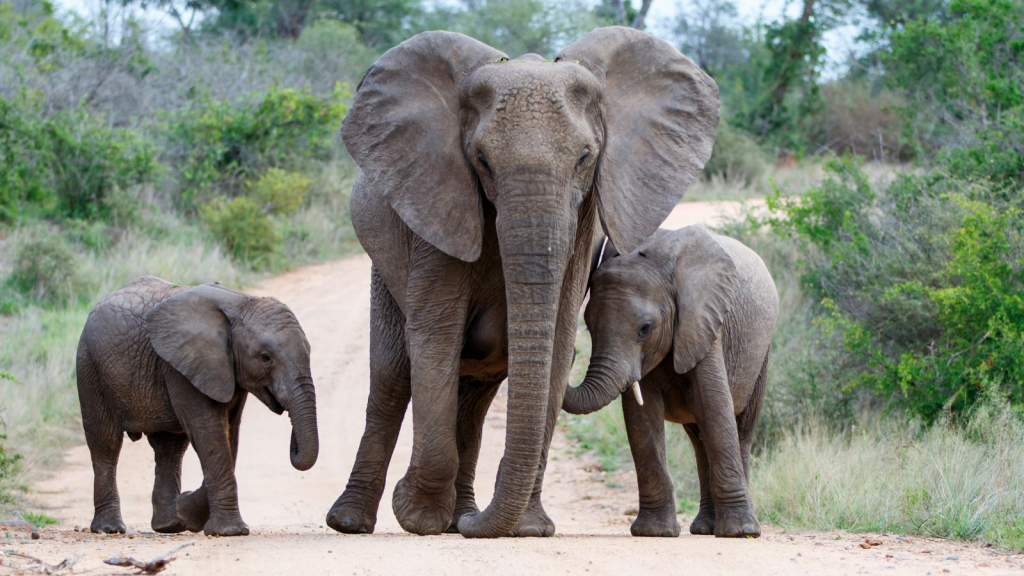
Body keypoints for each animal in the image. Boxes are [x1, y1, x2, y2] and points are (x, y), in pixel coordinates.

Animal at [76, 276, 317, 537]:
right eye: (266, 357)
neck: (241, 302)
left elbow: (229, 434)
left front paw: (186, 512)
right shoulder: (183, 366)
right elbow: (209, 433)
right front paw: (229, 531)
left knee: (169, 448)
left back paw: (170, 525)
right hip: (90, 366)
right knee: (106, 443)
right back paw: (109, 528)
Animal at [327, 25, 720, 537]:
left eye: (585, 158)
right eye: (481, 161)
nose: (473, 522)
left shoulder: (583, 221)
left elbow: (557, 339)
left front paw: (528, 528)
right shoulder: (439, 203)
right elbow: (435, 337)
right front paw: (418, 516)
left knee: (472, 400)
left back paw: (458, 516)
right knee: (393, 375)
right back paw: (357, 522)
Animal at [561, 225, 774, 537]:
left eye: (644, 329)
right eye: (589, 325)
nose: (572, 351)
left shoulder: (704, 322)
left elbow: (714, 406)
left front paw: (740, 532)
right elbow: (641, 417)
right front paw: (655, 532)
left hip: (762, 355)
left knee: (742, 430)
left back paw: (735, 527)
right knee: (699, 440)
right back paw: (704, 527)